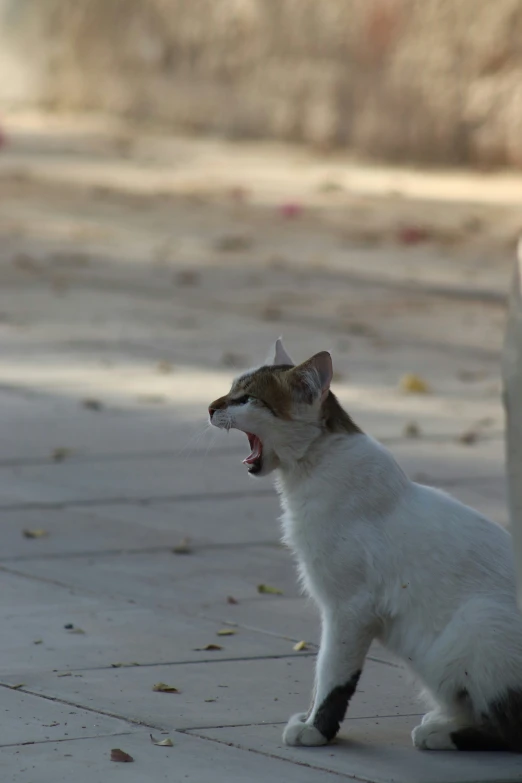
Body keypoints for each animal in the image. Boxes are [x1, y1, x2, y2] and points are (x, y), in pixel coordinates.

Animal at [207, 338, 520, 752]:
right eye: (230, 390)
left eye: (246, 399)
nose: (210, 407)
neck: (311, 468)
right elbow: (323, 674)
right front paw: (312, 720)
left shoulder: (349, 609)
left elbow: (332, 674)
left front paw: (316, 729)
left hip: (478, 624)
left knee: (512, 727)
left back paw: (441, 734)